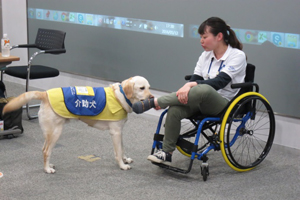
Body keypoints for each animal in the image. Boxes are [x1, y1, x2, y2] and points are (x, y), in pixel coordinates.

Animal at [2, 76, 152, 173]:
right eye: (141, 88)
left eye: (149, 88)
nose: (152, 97)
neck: (121, 96)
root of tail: (45, 94)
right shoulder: (115, 132)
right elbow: (118, 152)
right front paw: (122, 165)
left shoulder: (120, 131)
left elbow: (122, 148)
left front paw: (125, 160)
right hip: (56, 132)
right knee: (46, 151)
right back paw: (47, 169)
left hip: (49, 133)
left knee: (44, 149)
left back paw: (49, 165)